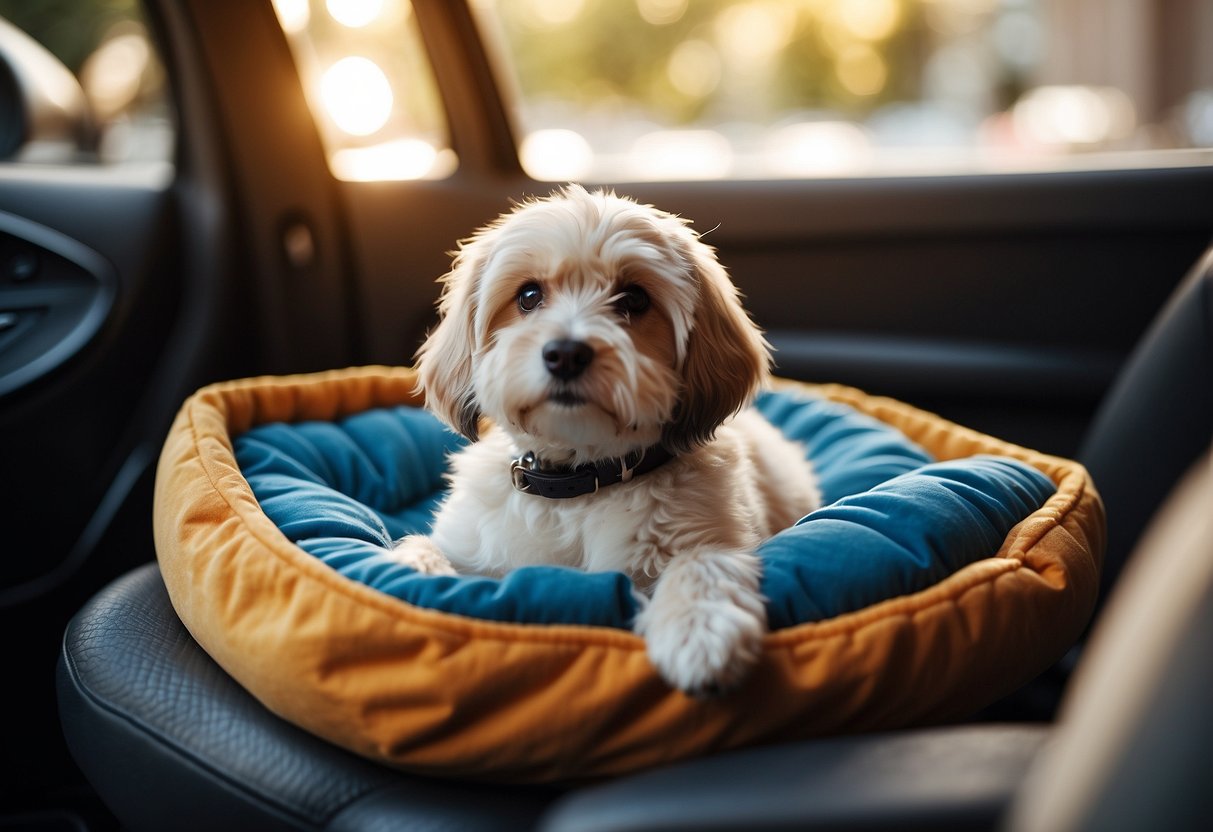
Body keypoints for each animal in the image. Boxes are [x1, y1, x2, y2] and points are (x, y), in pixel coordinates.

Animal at [393, 184, 819, 698]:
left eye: (634, 299)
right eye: (529, 295)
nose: (565, 353)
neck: (578, 482)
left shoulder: (715, 537)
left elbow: (702, 564)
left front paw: (699, 627)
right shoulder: (473, 548)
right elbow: (426, 548)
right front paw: (414, 570)